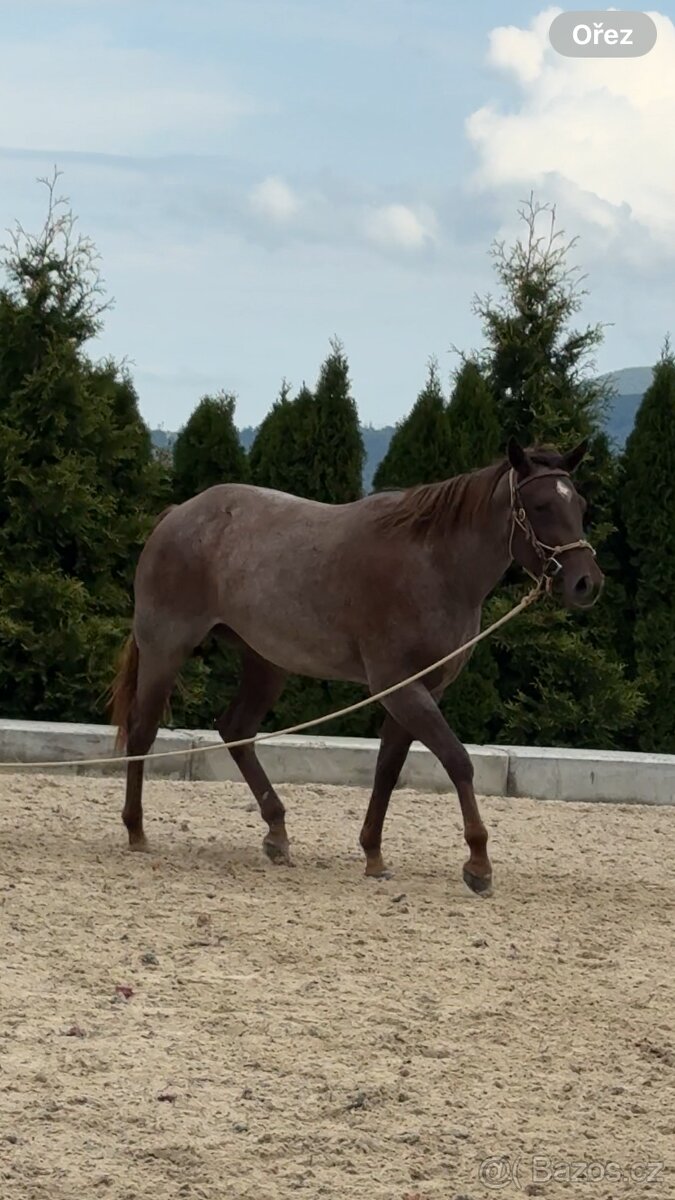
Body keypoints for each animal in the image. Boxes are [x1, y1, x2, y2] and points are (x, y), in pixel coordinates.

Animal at [109, 436, 603, 896]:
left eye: (579, 504)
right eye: (540, 506)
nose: (587, 583)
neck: (434, 564)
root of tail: (178, 514)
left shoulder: (420, 690)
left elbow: (388, 768)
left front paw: (373, 853)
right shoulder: (401, 686)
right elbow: (457, 761)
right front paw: (478, 863)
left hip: (266, 662)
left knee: (236, 729)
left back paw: (277, 832)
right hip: (166, 649)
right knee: (143, 731)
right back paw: (136, 829)